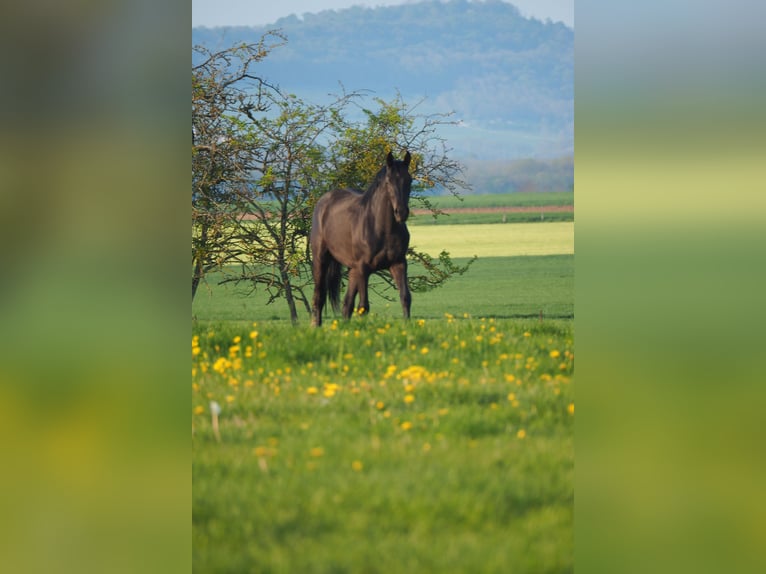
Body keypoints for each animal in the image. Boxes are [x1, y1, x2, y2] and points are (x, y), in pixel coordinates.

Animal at [310, 151, 414, 326]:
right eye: (388, 181)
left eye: (409, 180)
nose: (401, 213)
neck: (382, 229)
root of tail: (324, 201)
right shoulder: (364, 268)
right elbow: (363, 306)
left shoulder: (398, 264)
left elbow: (405, 297)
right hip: (321, 259)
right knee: (319, 297)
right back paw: (315, 326)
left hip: (353, 270)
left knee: (346, 305)